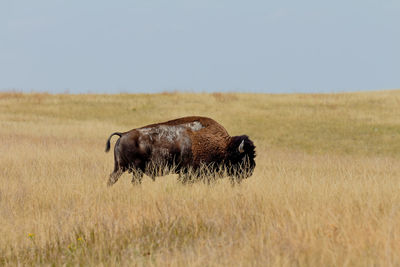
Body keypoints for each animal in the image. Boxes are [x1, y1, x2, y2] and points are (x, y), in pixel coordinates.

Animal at [105, 117, 256, 186]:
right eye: (243, 157)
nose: (250, 171)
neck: (224, 147)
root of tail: (123, 134)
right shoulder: (190, 173)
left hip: (120, 168)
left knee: (112, 179)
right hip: (135, 170)